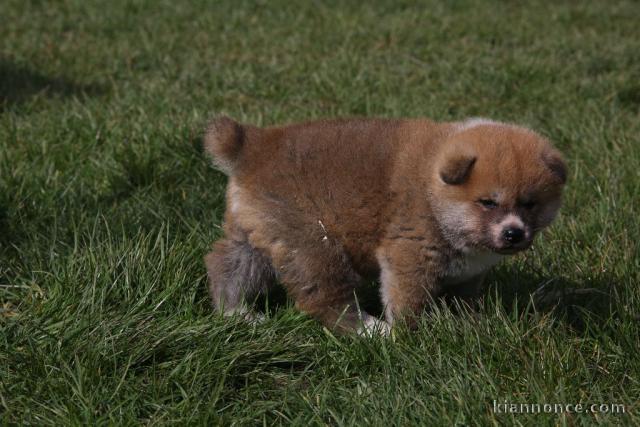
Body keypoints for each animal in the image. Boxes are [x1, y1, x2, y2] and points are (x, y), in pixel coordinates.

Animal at [202, 116, 568, 334]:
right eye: (488, 202)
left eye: (530, 204)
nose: (514, 233)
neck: (433, 188)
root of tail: (253, 147)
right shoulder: (410, 256)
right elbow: (407, 301)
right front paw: (411, 336)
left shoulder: (469, 273)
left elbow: (464, 298)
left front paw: (468, 321)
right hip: (314, 242)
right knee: (325, 298)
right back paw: (372, 330)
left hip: (259, 233)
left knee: (226, 266)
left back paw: (236, 313)